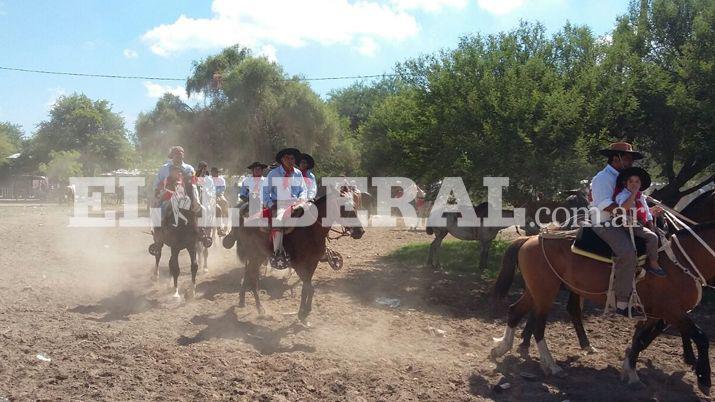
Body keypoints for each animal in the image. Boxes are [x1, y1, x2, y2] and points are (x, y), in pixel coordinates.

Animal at [228, 186, 364, 324]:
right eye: (343, 206)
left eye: (354, 205)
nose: (360, 231)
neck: (310, 230)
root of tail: (245, 221)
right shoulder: (299, 266)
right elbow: (308, 288)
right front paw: (302, 314)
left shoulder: (312, 263)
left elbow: (308, 288)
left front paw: (305, 311)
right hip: (256, 256)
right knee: (252, 279)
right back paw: (260, 309)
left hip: (257, 257)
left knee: (248, 274)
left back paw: (242, 300)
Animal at [492, 221, 715, 392]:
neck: (680, 260)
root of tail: (530, 239)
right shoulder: (673, 311)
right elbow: (701, 338)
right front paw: (704, 379)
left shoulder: (654, 314)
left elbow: (639, 340)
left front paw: (631, 372)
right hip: (545, 292)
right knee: (538, 327)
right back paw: (552, 366)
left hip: (535, 291)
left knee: (514, 311)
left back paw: (501, 349)